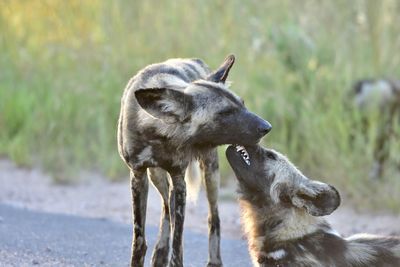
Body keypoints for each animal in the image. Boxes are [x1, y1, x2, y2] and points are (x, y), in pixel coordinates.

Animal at [116, 55, 272, 267]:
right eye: (225, 113)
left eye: (242, 104)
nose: (267, 127)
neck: (159, 132)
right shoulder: (138, 176)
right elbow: (139, 240)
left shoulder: (179, 181)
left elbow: (178, 242)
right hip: (156, 177)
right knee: (166, 209)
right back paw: (160, 252)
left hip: (210, 173)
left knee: (213, 217)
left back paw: (214, 261)